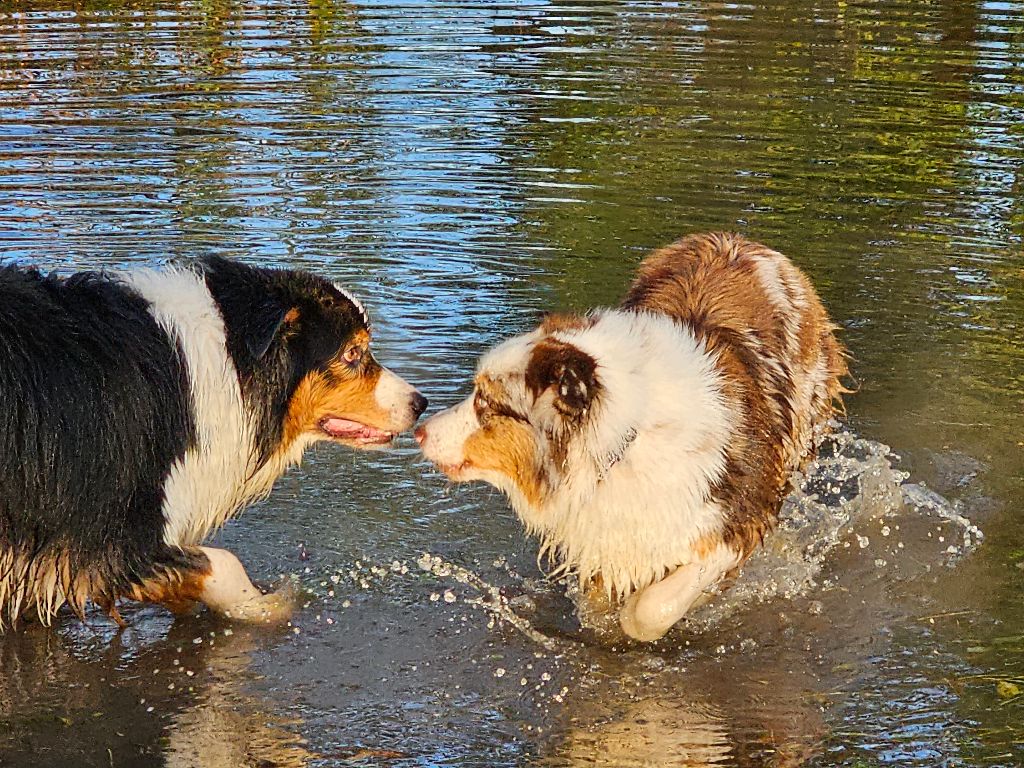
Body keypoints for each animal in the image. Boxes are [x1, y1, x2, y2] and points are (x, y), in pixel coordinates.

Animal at [0, 256, 423, 626]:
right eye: (352, 353)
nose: (420, 403)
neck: (228, 363)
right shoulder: (113, 529)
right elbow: (225, 565)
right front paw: (269, 607)